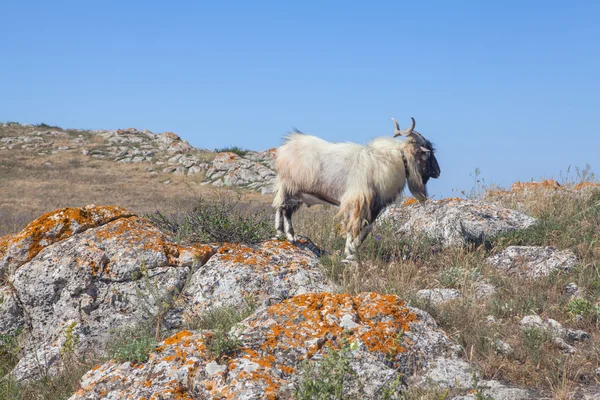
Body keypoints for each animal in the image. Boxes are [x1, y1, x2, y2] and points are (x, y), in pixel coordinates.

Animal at [272, 116, 440, 260]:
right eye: (428, 153)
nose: (438, 172)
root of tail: (286, 146)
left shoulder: (371, 207)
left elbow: (363, 229)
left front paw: (351, 251)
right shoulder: (359, 202)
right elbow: (355, 229)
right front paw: (350, 253)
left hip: (293, 191)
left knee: (282, 208)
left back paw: (283, 235)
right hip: (291, 188)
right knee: (284, 209)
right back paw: (288, 236)